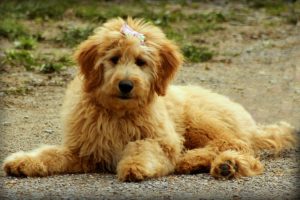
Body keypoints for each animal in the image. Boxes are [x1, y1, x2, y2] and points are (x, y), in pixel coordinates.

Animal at [2, 17, 298, 181]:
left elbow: (143, 146)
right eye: (113, 59)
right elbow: (51, 153)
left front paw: (135, 166)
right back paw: (212, 164)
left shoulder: (162, 140)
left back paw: (215, 163)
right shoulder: (85, 150)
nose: (125, 85)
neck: (118, 113)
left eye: (141, 62)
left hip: (200, 119)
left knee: (236, 145)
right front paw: (24, 162)